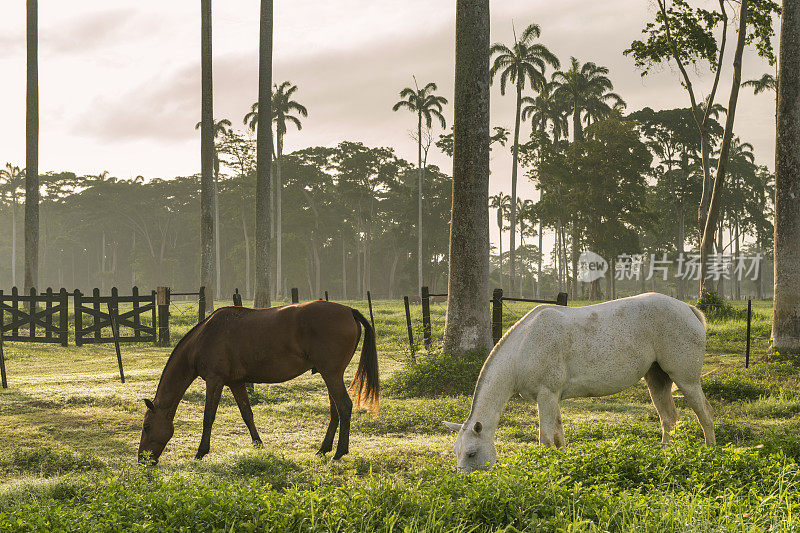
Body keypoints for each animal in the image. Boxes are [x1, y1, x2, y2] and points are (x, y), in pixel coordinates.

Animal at [139, 300, 380, 462]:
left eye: (147, 426)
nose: (143, 460)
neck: (204, 338)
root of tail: (349, 310)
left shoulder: (215, 381)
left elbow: (208, 417)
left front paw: (200, 452)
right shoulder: (236, 383)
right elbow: (247, 414)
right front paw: (258, 445)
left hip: (331, 374)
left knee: (344, 407)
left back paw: (338, 453)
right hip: (329, 374)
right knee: (335, 411)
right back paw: (323, 449)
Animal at [444, 294, 712, 472]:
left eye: (471, 453)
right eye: (456, 452)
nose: (464, 483)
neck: (524, 346)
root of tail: (688, 309)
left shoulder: (546, 395)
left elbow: (545, 439)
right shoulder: (552, 398)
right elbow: (558, 436)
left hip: (686, 380)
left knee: (705, 414)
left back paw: (710, 453)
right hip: (657, 380)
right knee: (669, 419)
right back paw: (664, 457)